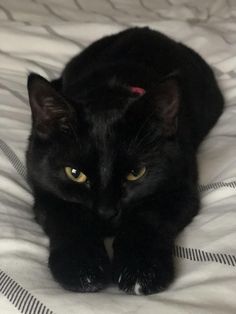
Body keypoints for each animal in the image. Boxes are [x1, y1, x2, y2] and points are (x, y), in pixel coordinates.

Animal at [25, 27, 223, 294]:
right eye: (75, 173)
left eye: (136, 173)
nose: (106, 212)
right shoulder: (44, 188)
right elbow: (69, 218)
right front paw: (81, 268)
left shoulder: (181, 187)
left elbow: (147, 218)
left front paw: (141, 269)